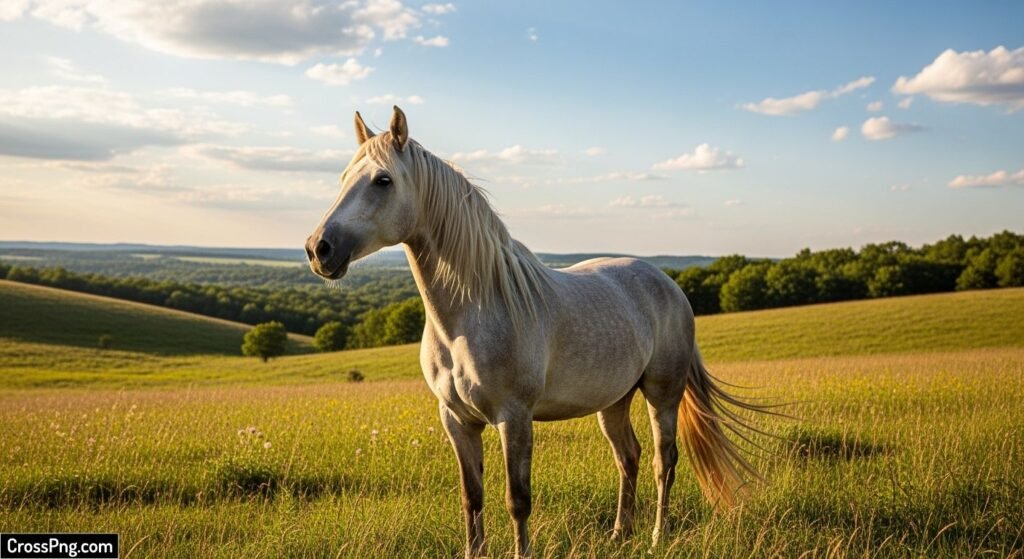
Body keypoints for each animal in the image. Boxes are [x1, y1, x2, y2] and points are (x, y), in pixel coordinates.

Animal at [305, 106, 762, 558]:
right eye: (343, 177)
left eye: (383, 180)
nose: (317, 248)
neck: (471, 316)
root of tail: (669, 283)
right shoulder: (457, 421)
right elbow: (472, 498)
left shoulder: (515, 418)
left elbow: (517, 500)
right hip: (614, 399)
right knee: (627, 457)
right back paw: (620, 533)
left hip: (662, 393)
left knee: (662, 462)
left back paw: (656, 536)